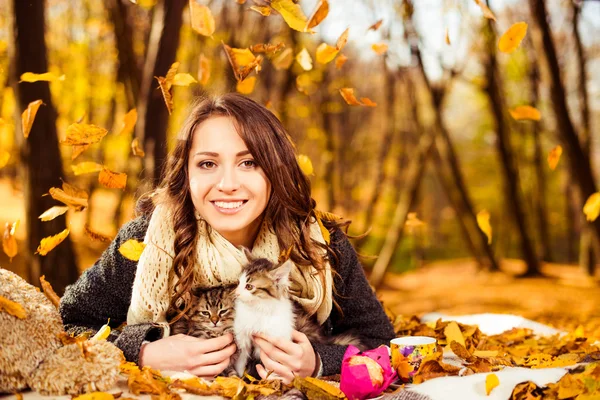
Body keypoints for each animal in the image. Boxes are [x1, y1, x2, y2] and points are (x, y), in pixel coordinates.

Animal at [232, 250, 364, 378]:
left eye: (249, 286)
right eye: (239, 283)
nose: (236, 293)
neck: (257, 308)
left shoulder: (276, 341)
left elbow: (273, 367)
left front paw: (271, 381)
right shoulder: (242, 336)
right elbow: (241, 360)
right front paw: (239, 377)